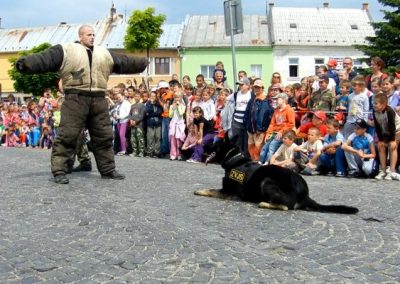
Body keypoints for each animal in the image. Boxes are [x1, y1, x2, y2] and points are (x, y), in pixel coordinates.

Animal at [192, 135, 358, 213]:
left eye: (214, 143)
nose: (202, 144)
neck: (235, 160)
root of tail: (304, 193)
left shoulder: (227, 192)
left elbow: (211, 190)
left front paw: (199, 190)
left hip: (267, 181)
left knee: (286, 206)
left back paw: (265, 203)